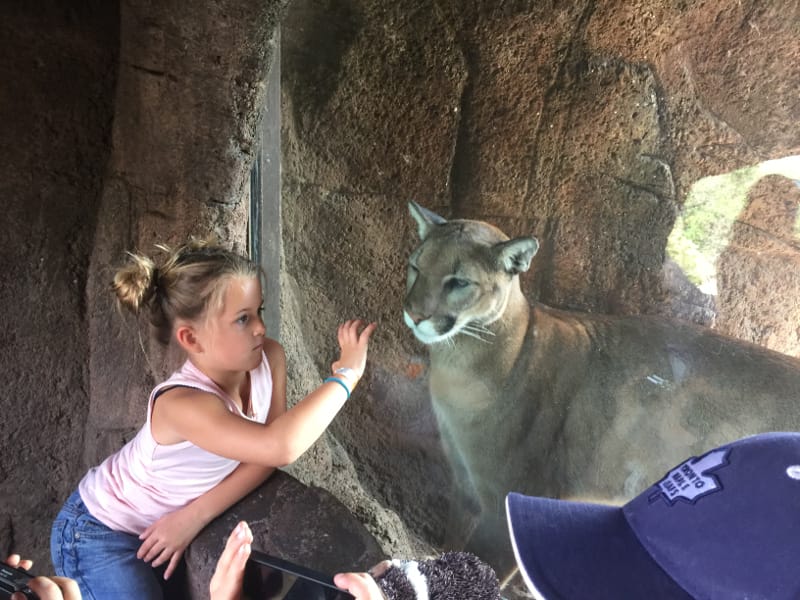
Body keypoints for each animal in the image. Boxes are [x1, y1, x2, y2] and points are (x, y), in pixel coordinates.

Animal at [404, 203, 800, 576]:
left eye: (458, 282)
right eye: (415, 267)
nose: (413, 314)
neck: (461, 364)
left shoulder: (507, 505)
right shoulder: (464, 491)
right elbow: (450, 545)